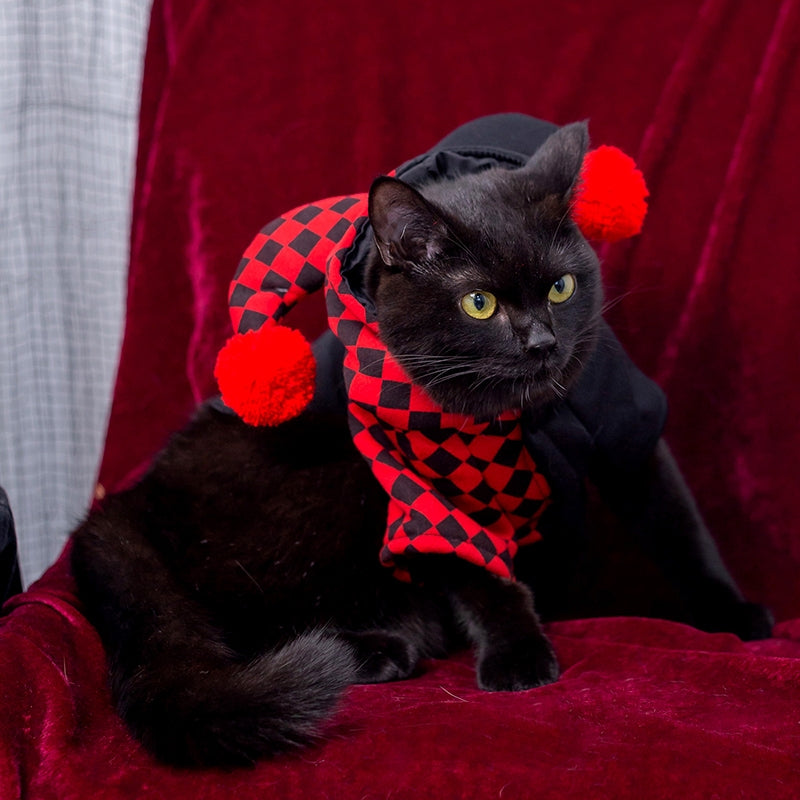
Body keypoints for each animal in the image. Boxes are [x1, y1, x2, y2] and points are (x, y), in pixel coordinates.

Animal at [72, 119, 772, 768]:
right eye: (479, 303)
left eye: (561, 288)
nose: (542, 342)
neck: (512, 419)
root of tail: (125, 505)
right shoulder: (413, 484)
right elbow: (476, 570)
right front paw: (519, 655)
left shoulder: (623, 425)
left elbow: (676, 524)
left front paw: (732, 614)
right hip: (327, 484)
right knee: (248, 622)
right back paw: (378, 649)